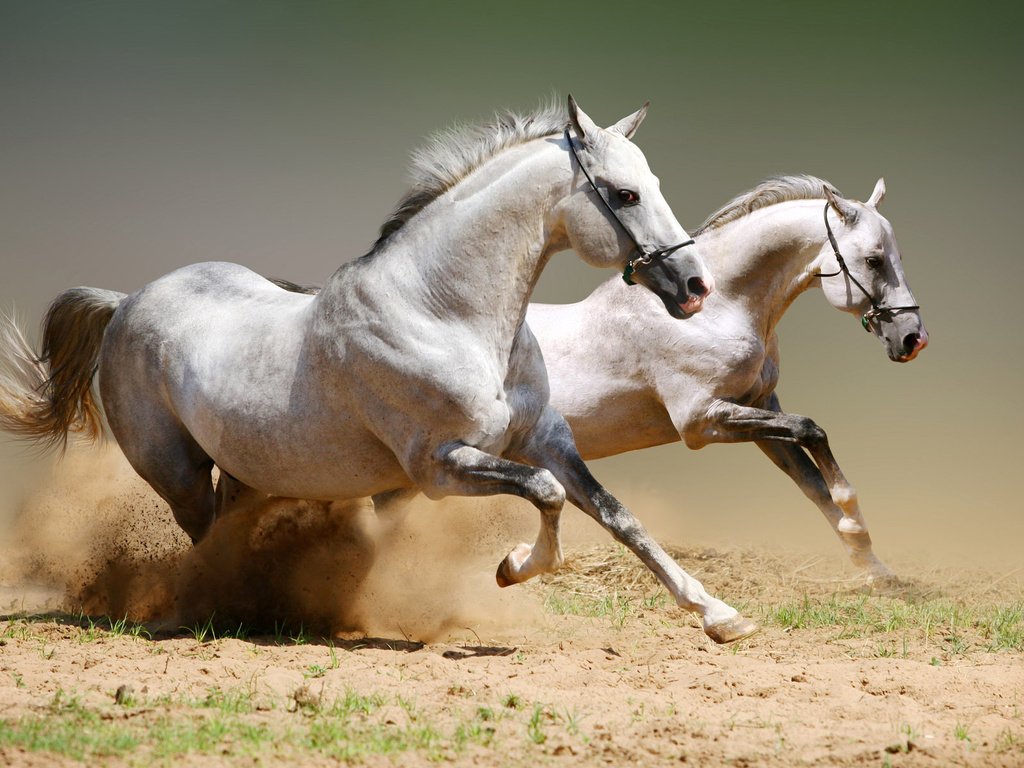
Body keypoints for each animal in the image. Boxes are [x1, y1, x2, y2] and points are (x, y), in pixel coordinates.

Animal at [2, 99, 761, 647]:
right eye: (624, 194)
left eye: (653, 185)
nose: (695, 287)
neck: (443, 312)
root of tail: (126, 301)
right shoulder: (439, 466)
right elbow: (545, 497)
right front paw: (513, 568)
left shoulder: (546, 440)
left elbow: (617, 516)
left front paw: (720, 616)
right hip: (177, 473)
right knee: (202, 538)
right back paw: (219, 610)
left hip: (249, 472)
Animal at [528, 174, 929, 581]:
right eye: (873, 261)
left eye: (898, 257)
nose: (913, 339)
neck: (715, 311)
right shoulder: (701, 421)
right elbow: (811, 430)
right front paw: (853, 520)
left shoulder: (759, 408)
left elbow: (813, 482)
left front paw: (874, 568)